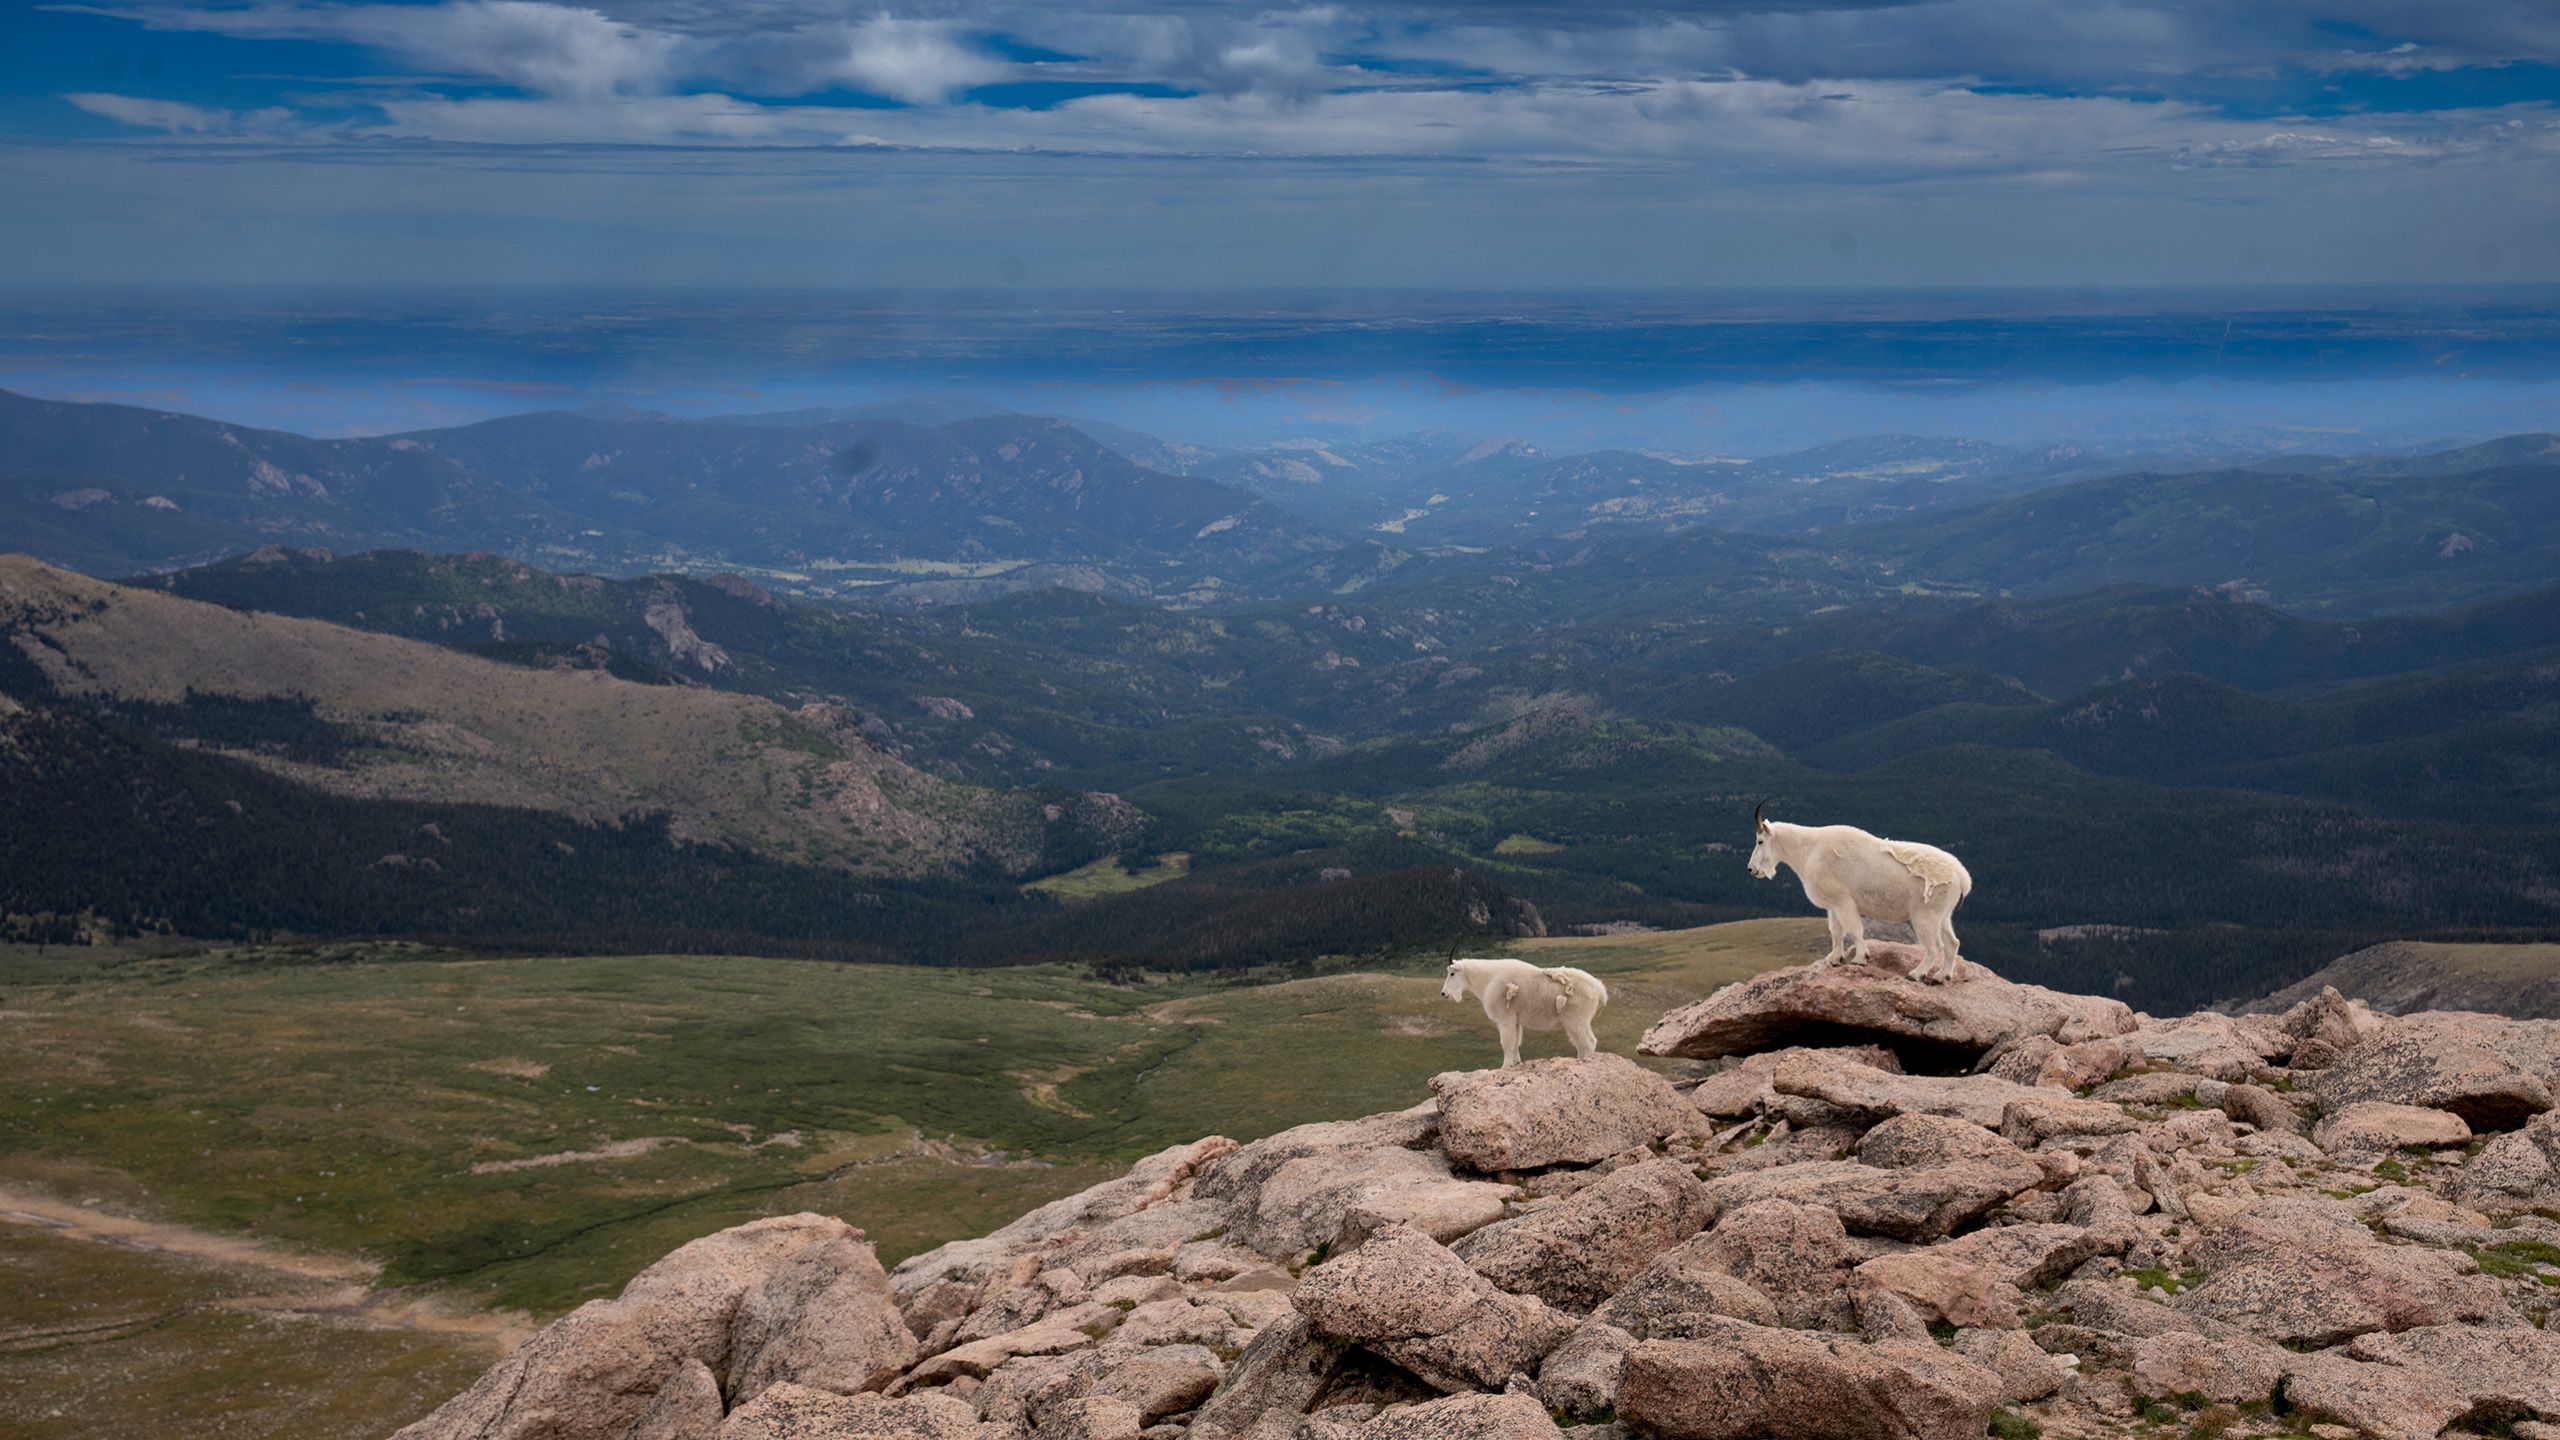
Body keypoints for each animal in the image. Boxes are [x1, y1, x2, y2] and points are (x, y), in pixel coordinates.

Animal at [1440, 956, 1609, 1066]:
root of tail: (1600, 990)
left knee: (1588, 1043)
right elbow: (1516, 1042)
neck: (1488, 979)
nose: (1443, 993)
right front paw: (1516, 1063)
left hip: (1576, 1021)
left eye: (1452, 973)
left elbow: (1507, 1043)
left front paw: (1505, 1067)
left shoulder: (1505, 1019)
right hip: (1580, 1022)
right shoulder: (1515, 1021)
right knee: (1583, 1044)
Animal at [1746, 802, 1973, 984]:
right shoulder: (1833, 905)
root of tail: (1962, 876)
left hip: (1925, 915)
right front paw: (1834, 959)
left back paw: (1916, 974)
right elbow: (1836, 932)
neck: (1809, 850)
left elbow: (1854, 929)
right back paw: (1942, 976)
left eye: (1760, 841)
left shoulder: (1843, 901)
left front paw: (1860, 959)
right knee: (1953, 943)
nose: (1751, 869)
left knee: (1935, 946)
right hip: (1943, 915)